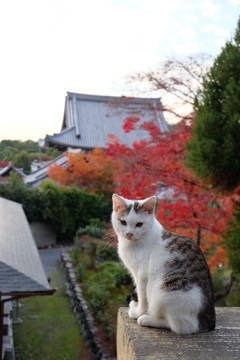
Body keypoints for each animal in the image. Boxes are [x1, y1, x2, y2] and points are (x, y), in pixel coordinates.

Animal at [112, 194, 216, 334]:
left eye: (139, 224)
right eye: (123, 222)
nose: (129, 233)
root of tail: (208, 322)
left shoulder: (142, 274)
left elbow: (142, 296)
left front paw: (139, 311)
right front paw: (136, 305)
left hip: (165, 293)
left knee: (181, 326)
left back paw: (147, 319)